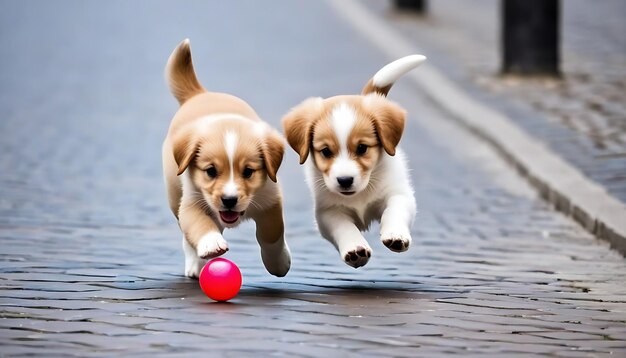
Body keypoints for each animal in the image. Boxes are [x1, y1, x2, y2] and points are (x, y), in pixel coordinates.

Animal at [160, 39, 288, 280]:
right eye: (211, 171)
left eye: (248, 172)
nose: (229, 200)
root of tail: (199, 93)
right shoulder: (191, 201)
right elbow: (199, 224)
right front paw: (211, 244)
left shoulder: (271, 199)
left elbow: (271, 234)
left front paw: (278, 263)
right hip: (174, 195)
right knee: (187, 235)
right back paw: (196, 263)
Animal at [282, 55, 424, 268]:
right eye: (326, 151)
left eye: (362, 148)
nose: (345, 180)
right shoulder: (328, 212)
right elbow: (344, 228)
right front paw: (355, 249)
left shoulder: (398, 194)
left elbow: (394, 211)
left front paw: (395, 235)